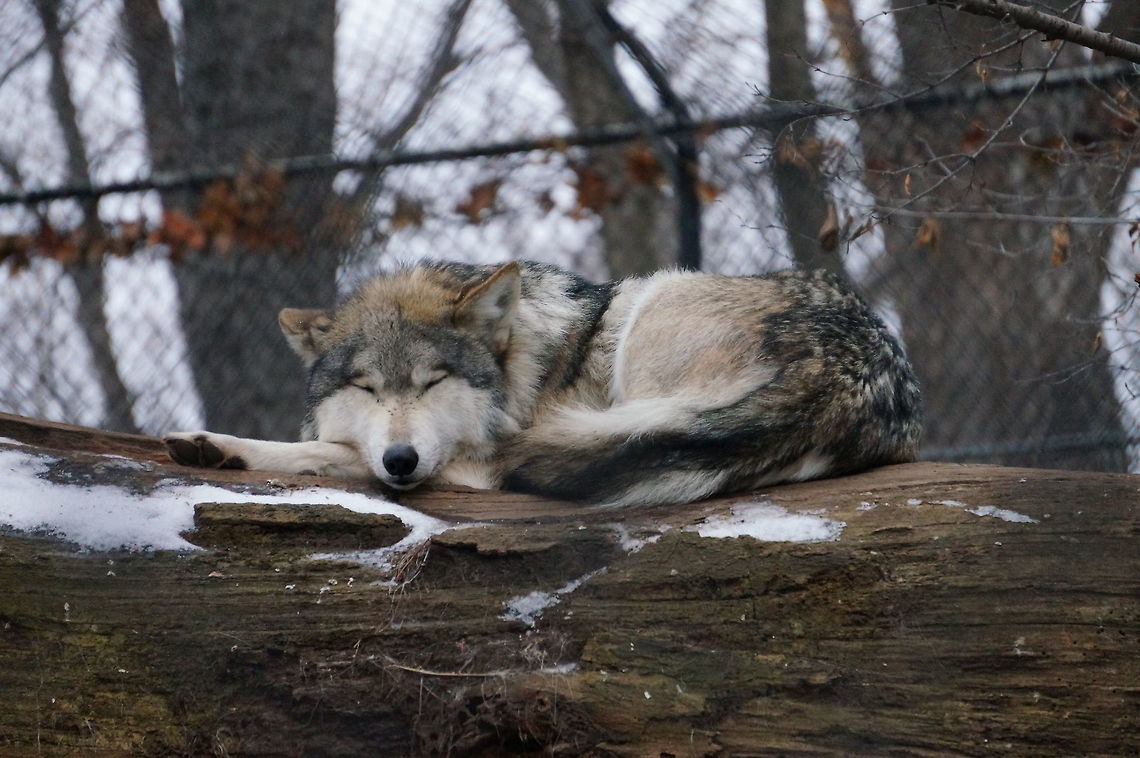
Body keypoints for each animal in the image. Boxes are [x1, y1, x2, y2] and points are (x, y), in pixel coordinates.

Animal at [164, 261, 922, 507]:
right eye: (369, 390)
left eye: (434, 382)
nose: (402, 460)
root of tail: (860, 365)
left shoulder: (477, 457)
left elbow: (326, 450)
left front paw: (219, 444)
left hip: (655, 304)